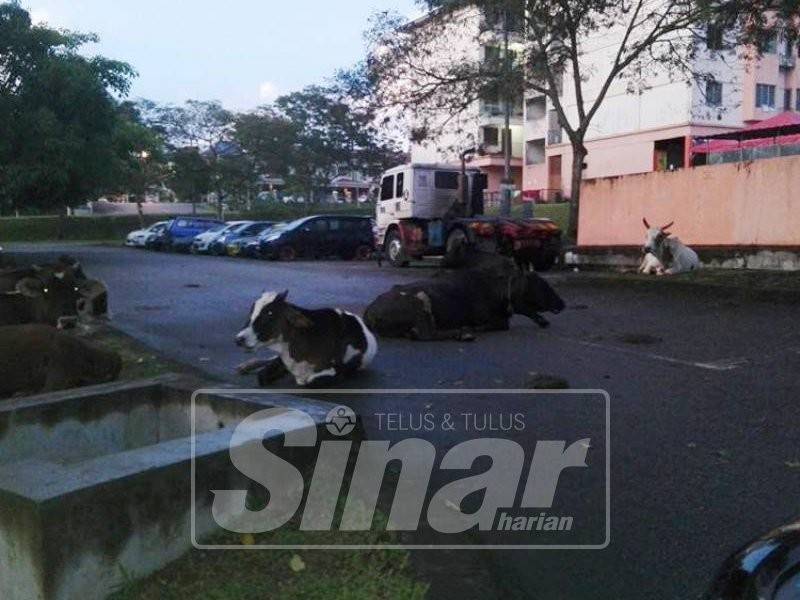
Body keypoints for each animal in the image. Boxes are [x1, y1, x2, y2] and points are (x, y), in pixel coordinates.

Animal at [234, 292, 378, 390]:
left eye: (270, 314)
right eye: (251, 312)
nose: (239, 339)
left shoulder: (335, 372)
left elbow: (310, 383)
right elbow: (262, 376)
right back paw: (245, 366)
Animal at [366, 253, 564, 340]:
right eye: (541, 284)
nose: (562, 303)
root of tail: (369, 314)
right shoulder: (489, 318)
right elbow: (499, 325)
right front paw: (474, 328)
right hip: (420, 303)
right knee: (426, 334)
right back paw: (464, 332)